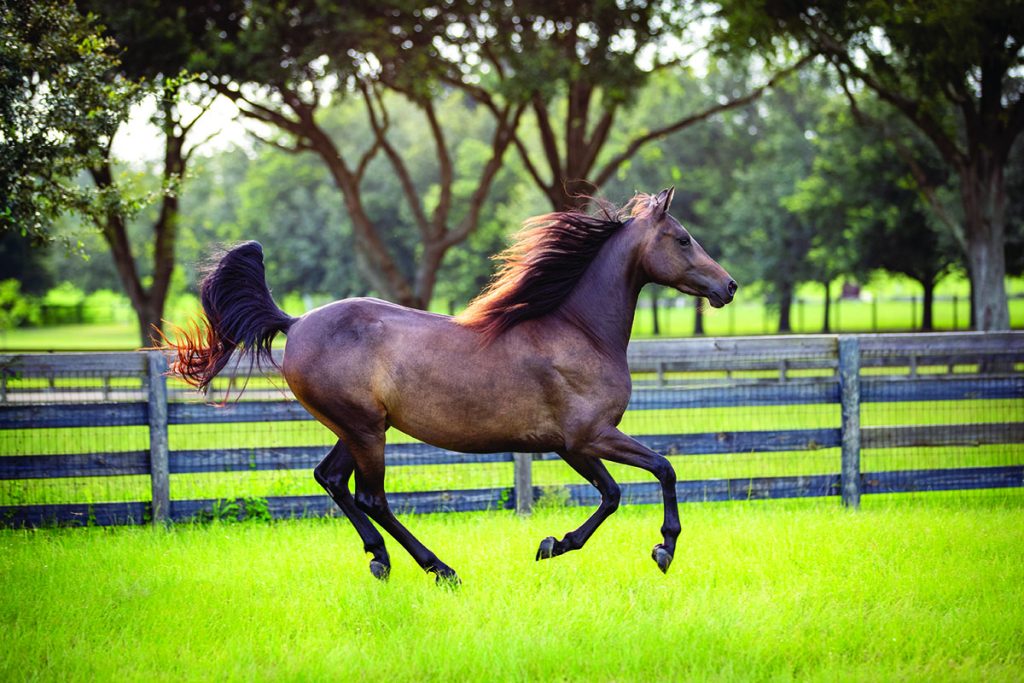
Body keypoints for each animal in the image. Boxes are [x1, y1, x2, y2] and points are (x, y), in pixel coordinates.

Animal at [165, 189, 737, 585]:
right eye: (682, 238)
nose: (728, 286)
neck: (580, 330)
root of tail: (295, 321)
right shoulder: (586, 437)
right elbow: (659, 471)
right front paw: (660, 550)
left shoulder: (572, 445)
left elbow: (617, 492)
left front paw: (552, 543)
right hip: (365, 430)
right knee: (371, 496)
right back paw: (440, 569)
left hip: (356, 428)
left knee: (331, 479)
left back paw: (380, 559)